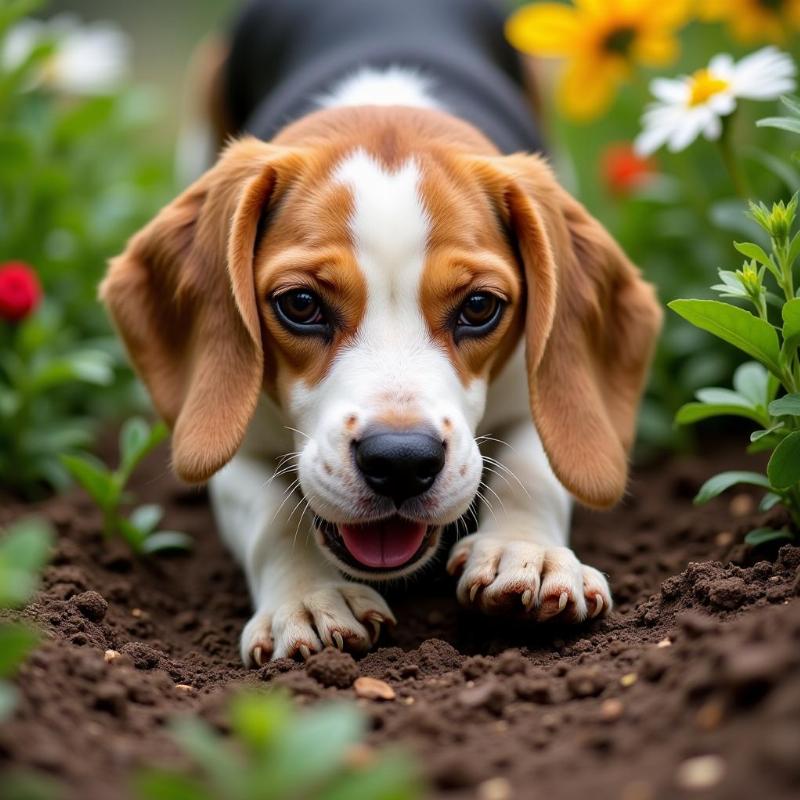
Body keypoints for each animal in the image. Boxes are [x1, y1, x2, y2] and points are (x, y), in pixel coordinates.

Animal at [100, 0, 664, 664]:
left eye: (479, 307)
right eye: (300, 304)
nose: (400, 462)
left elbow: (533, 467)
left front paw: (528, 554)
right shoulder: (235, 444)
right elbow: (272, 513)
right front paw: (308, 598)